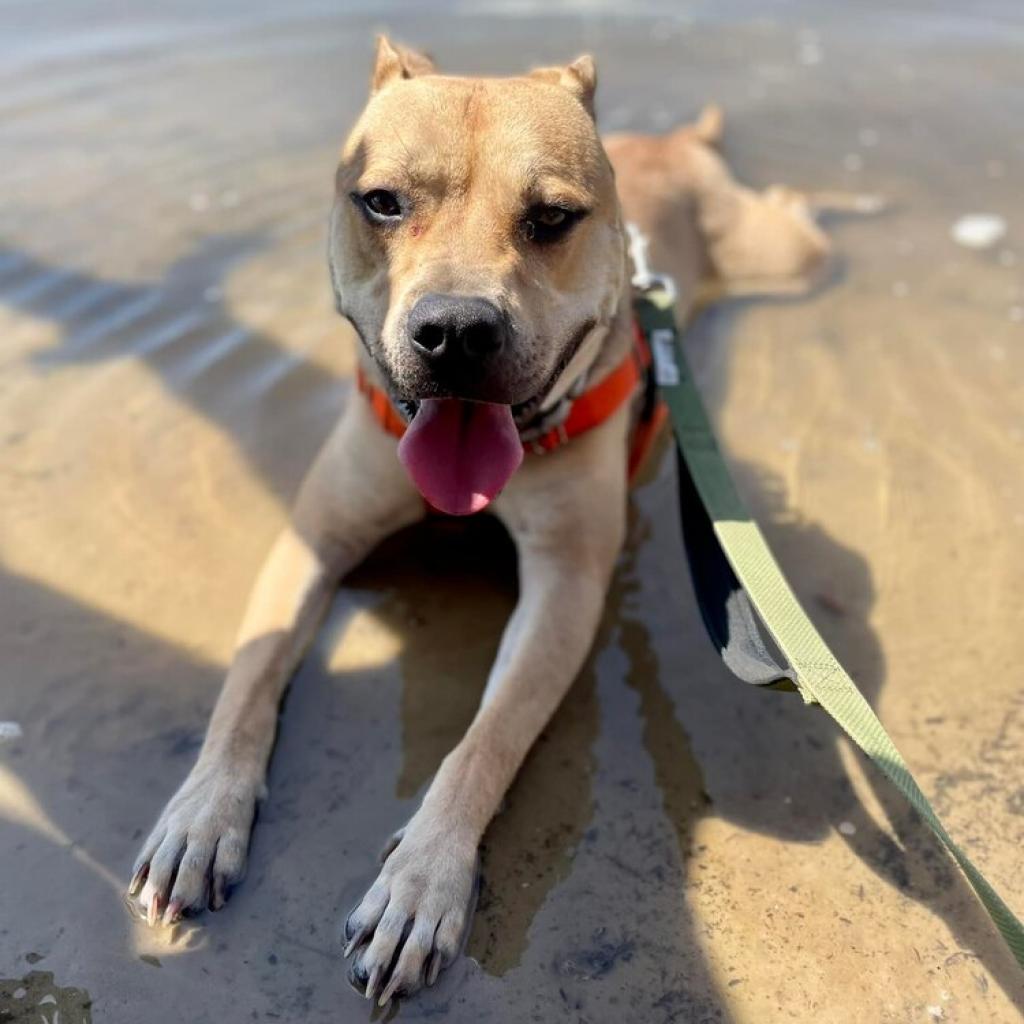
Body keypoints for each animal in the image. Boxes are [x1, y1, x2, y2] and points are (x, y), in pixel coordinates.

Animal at [128, 36, 872, 1003]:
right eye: (382, 201)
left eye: (553, 217)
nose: (455, 330)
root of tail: (674, 140)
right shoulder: (312, 540)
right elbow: (249, 679)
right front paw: (201, 812)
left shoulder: (564, 589)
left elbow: (487, 739)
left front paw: (423, 880)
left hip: (787, 259)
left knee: (794, 216)